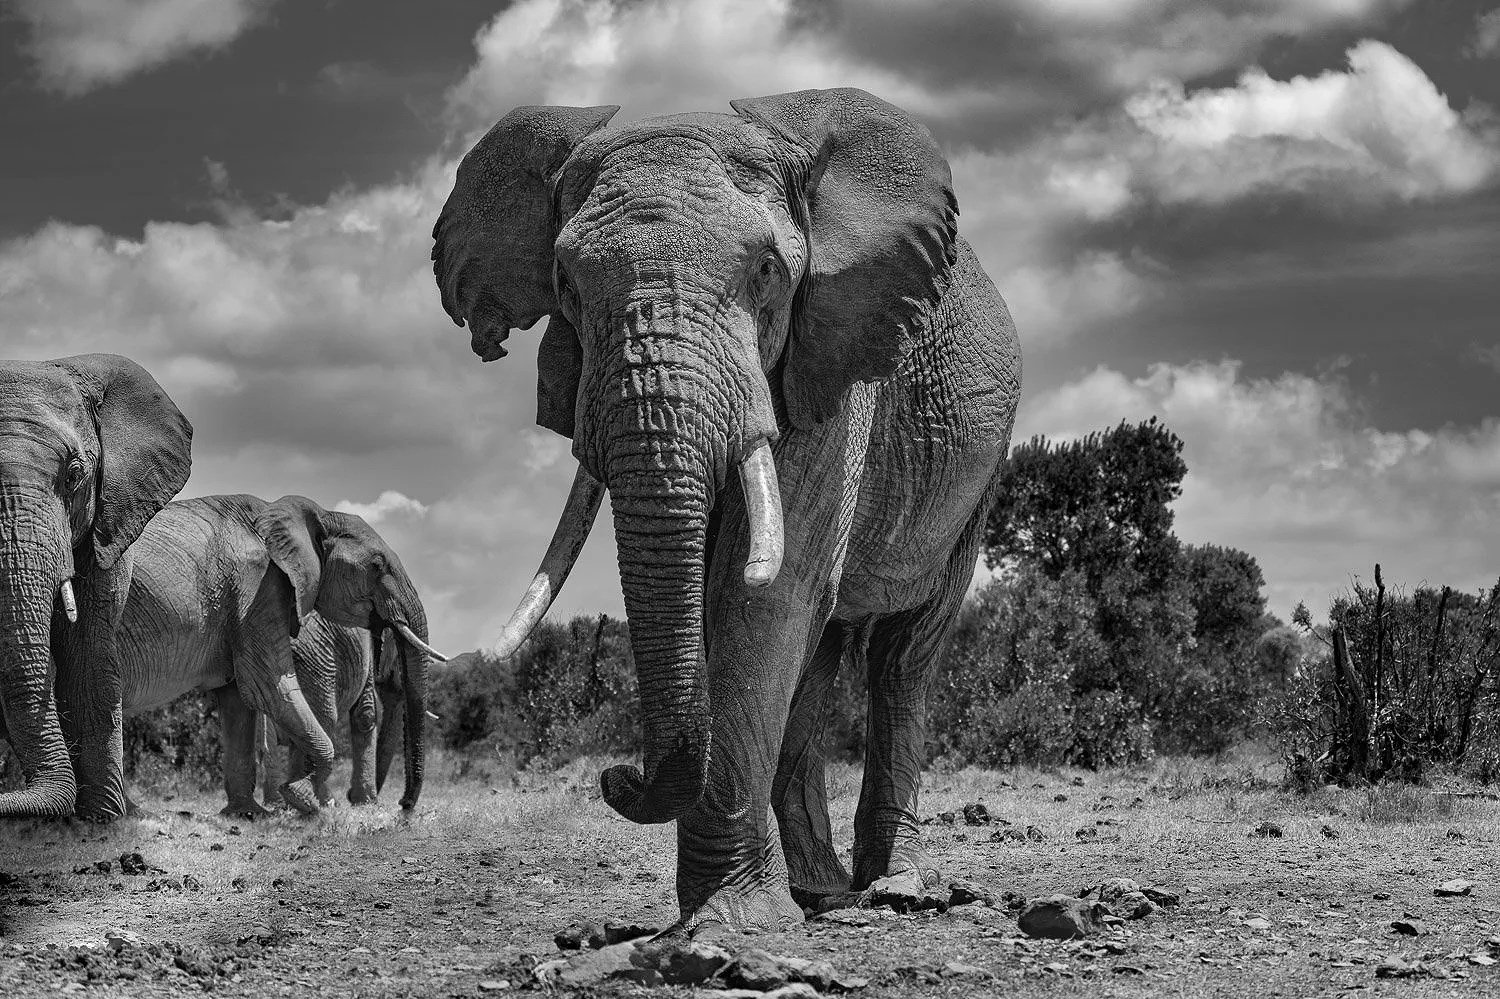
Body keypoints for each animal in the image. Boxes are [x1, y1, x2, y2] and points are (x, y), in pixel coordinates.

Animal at [113, 494, 442, 818]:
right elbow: (272, 688)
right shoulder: (258, 589)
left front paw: (247, 814)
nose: (404, 805)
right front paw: (307, 800)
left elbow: (238, 700)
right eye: (377, 564)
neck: (316, 513)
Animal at [431, 87, 1021, 932]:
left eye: (768, 271)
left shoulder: (827, 356)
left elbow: (759, 593)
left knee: (905, 652)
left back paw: (895, 887)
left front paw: (731, 919)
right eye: (565, 282)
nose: (617, 775)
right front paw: (740, 911)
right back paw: (819, 889)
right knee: (822, 648)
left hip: (980, 472)